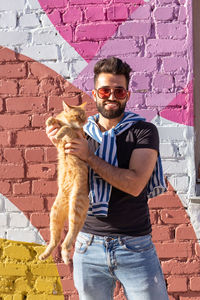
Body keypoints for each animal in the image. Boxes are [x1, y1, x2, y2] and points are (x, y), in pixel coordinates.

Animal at [38, 102, 88, 264]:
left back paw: (65, 255)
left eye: (84, 117)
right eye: (78, 116)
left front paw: (60, 130)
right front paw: (51, 121)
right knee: (56, 239)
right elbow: (56, 121)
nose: (84, 122)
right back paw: (45, 255)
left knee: (70, 235)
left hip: (75, 207)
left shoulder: (77, 138)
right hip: (54, 213)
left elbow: (66, 129)